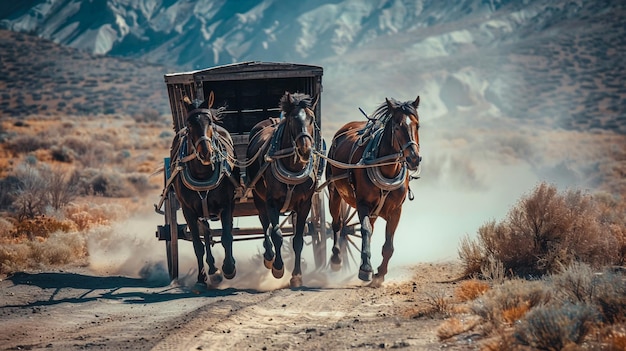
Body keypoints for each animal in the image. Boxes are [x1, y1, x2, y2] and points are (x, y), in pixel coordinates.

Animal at [169, 92, 240, 288]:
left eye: (210, 122)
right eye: (189, 124)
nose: (206, 153)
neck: (202, 174)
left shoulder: (227, 205)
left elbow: (226, 237)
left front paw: (229, 268)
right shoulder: (189, 211)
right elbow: (197, 245)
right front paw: (202, 278)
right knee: (206, 234)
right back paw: (213, 270)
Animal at [245, 93, 316, 288]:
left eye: (312, 119)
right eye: (292, 119)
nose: (305, 150)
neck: (292, 167)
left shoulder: (305, 205)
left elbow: (298, 240)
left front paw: (297, 276)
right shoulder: (271, 203)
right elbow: (276, 234)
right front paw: (278, 267)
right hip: (258, 198)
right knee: (264, 225)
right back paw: (269, 257)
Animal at [326, 95, 420, 286]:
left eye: (418, 125)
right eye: (397, 126)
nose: (414, 158)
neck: (387, 169)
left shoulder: (396, 210)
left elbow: (388, 245)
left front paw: (380, 274)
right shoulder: (363, 204)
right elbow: (366, 231)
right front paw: (366, 269)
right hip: (334, 192)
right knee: (337, 224)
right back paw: (336, 259)